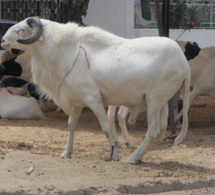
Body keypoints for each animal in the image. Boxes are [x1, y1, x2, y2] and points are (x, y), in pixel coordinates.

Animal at [1, 17, 190, 163]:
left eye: (21, 29)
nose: (2, 40)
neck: (67, 51)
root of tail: (183, 61)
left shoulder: (93, 99)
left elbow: (106, 128)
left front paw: (114, 155)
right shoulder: (77, 102)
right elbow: (71, 125)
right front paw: (66, 153)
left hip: (154, 100)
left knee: (152, 132)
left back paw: (131, 158)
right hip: (162, 103)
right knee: (159, 131)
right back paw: (138, 157)